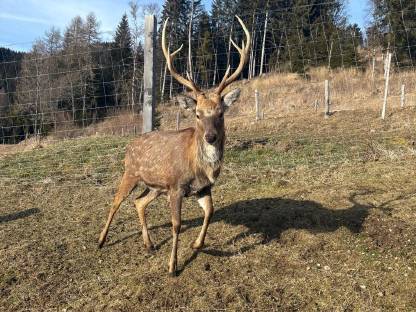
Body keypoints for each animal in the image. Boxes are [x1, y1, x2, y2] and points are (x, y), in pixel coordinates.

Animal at [98, 16, 250, 276]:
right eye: (198, 114)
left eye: (221, 113)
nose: (210, 137)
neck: (200, 167)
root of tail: (129, 145)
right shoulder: (176, 186)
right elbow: (176, 224)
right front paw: (172, 266)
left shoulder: (202, 187)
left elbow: (210, 211)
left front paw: (198, 245)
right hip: (131, 173)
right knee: (116, 201)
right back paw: (100, 241)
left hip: (156, 186)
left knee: (138, 201)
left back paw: (149, 244)